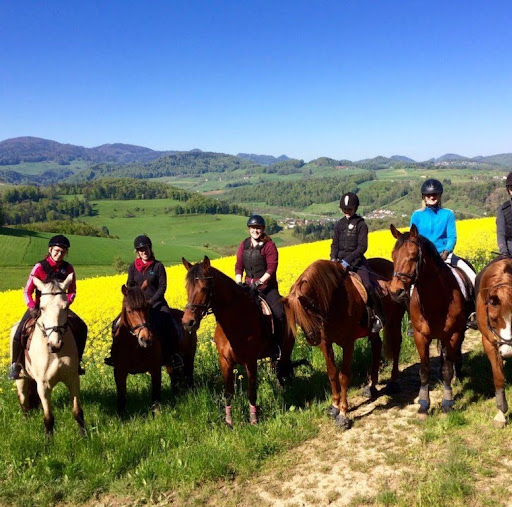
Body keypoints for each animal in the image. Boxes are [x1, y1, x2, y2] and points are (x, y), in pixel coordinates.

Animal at [111, 284, 197, 414]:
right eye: (129, 311)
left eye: (147, 309)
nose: (145, 339)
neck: (134, 346)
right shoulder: (119, 371)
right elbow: (121, 398)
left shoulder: (155, 368)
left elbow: (156, 396)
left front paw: (157, 416)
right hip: (169, 362)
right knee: (175, 378)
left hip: (189, 356)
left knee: (189, 376)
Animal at [182, 256, 298, 426]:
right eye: (187, 288)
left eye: (204, 288)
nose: (187, 322)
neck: (235, 320)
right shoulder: (225, 361)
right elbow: (228, 393)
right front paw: (229, 422)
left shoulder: (250, 361)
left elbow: (251, 392)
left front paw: (254, 420)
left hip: (286, 348)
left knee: (283, 367)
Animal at [282, 258, 406, 428]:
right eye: (295, 317)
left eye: (308, 308)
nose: (312, 339)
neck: (334, 300)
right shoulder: (325, 343)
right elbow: (332, 373)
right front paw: (334, 406)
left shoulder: (348, 344)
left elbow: (343, 376)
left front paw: (343, 414)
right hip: (373, 330)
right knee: (377, 346)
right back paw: (371, 386)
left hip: (395, 320)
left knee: (396, 345)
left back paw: (393, 382)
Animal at [388, 224, 468, 418]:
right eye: (393, 255)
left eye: (412, 256)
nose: (395, 292)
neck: (435, 298)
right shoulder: (420, 336)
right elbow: (424, 371)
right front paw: (423, 405)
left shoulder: (453, 334)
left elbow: (447, 369)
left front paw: (447, 403)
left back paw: (459, 374)